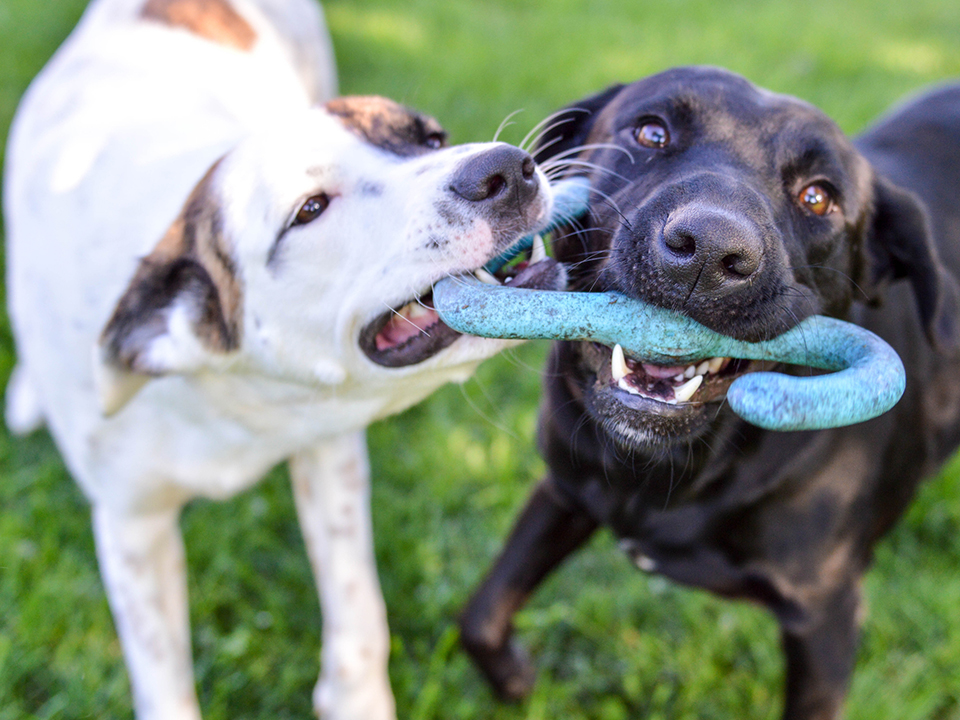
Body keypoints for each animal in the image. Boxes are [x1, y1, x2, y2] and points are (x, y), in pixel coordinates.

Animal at [3, 1, 560, 720]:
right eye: (310, 209)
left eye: (431, 138)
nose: (507, 168)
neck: (222, 391)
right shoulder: (131, 526)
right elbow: (162, 676)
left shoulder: (329, 447)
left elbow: (357, 614)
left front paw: (356, 702)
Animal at [458, 64, 960, 716]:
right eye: (651, 132)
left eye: (818, 196)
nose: (710, 251)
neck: (664, 479)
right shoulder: (564, 490)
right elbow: (481, 615)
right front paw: (517, 681)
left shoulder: (825, 615)